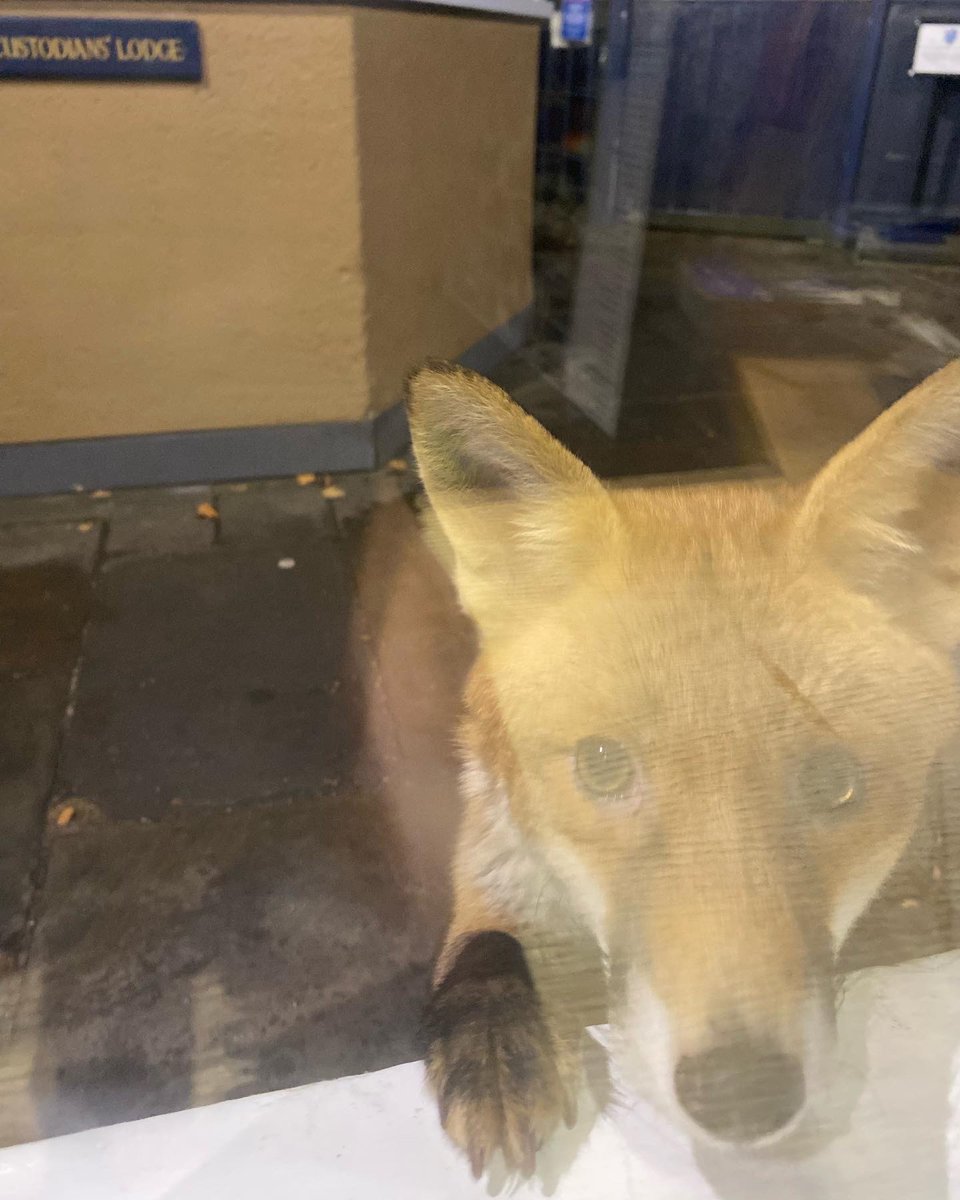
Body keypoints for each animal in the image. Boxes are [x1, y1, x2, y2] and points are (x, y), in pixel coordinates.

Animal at [406, 357, 960, 1179]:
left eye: (836, 782)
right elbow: (487, 943)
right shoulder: (493, 846)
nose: (740, 1096)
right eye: (602, 767)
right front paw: (494, 1038)